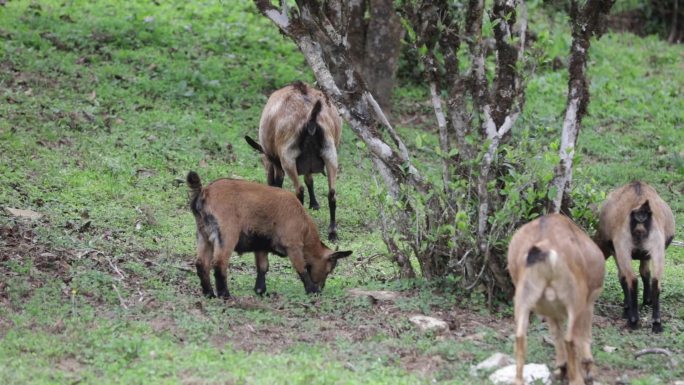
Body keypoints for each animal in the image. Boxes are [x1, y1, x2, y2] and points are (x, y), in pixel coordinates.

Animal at [187, 171, 352, 296]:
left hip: (203, 235)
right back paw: (225, 295)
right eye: (329, 270)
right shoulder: (293, 245)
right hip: (227, 235)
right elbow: (301, 268)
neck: (304, 226)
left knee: (202, 264)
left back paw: (209, 294)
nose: (321, 289)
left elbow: (263, 267)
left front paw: (261, 291)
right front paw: (311, 290)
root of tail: (204, 192)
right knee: (219, 263)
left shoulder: (261, 246)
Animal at [244, 80, 342, 240]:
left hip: (288, 157)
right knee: (332, 193)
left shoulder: (278, 161)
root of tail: (310, 118)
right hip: (330, 154)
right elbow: (309, 179)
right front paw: (314, 204)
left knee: (299, 190)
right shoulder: (308, 164)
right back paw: (332, 232)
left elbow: (280, 182)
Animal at [508, 213, 604, 384]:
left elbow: (556, 334)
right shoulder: (587, 303)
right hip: (575, 303)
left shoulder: (550, 312)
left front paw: (561, 368)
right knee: (571, 339)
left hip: (523, 298)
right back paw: (577, 379)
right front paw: (588, 370)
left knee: (520, 338)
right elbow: (584, 336)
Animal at [596, 182, 676, 332]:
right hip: (657, 245)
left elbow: (623, 277)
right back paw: (657, 323)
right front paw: (647, 301)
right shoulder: (647, 254)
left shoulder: (615, 250)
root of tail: (641, 212)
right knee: (656, 281)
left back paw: (633, 320)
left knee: (632, 279)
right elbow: (645, 273)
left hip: (623, 246)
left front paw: (627, 308)